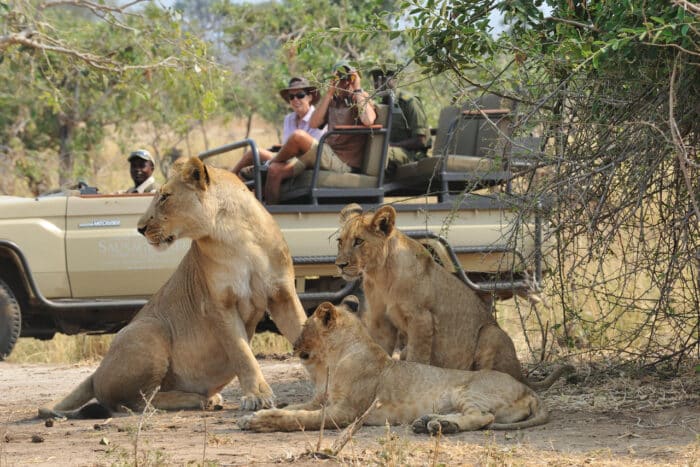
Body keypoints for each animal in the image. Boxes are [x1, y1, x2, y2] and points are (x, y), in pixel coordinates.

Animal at [37, 157, 306, 420]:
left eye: (165, 197)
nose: (140, 228)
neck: (238, 236)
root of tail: (96, 373)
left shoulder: (283, 296)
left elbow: (304, 331)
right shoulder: (218, 305)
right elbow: (243, 354)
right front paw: (257, 396)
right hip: (150, 330)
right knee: (136, 401)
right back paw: (196, 400)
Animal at [238, 300, 548, 436]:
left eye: (305, 327)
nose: (293, 346)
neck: (334, 360)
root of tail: (530, 391)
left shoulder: (346, 412)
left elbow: (299, 418)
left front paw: (259, 422)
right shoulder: (321, 400)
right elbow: (294, 408)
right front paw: (252, 416)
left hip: (468, 390)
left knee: (482, 417)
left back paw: (440, 426)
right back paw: (430, 422)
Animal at [336, 203, 572, 390]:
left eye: (358, 241)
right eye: (340, 241)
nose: (339, 265)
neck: (380, 274)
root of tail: (521, 372)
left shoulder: (421, 318)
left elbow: (417, 358)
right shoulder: (381, 322)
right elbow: (378, 352)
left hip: (491, 333)